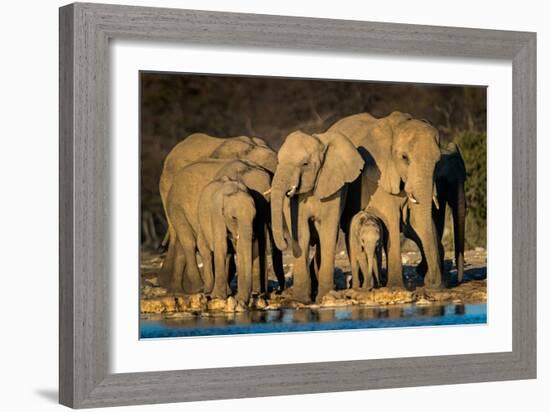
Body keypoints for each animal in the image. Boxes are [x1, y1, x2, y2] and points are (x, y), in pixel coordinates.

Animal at [272, 131, 366, 302]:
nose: (284, 243)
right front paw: (301, 300)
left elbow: (328, 232)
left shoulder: (334, 190)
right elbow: (302, 233)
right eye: (278, 161)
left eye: (305, 164)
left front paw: (325, 297)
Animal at [332, 111, 444, 288]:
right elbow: (390, 218)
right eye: (404, 157)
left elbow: (416, 219)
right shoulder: (376, 175)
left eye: (438, 161)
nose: (431, 282)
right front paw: (396, 286)